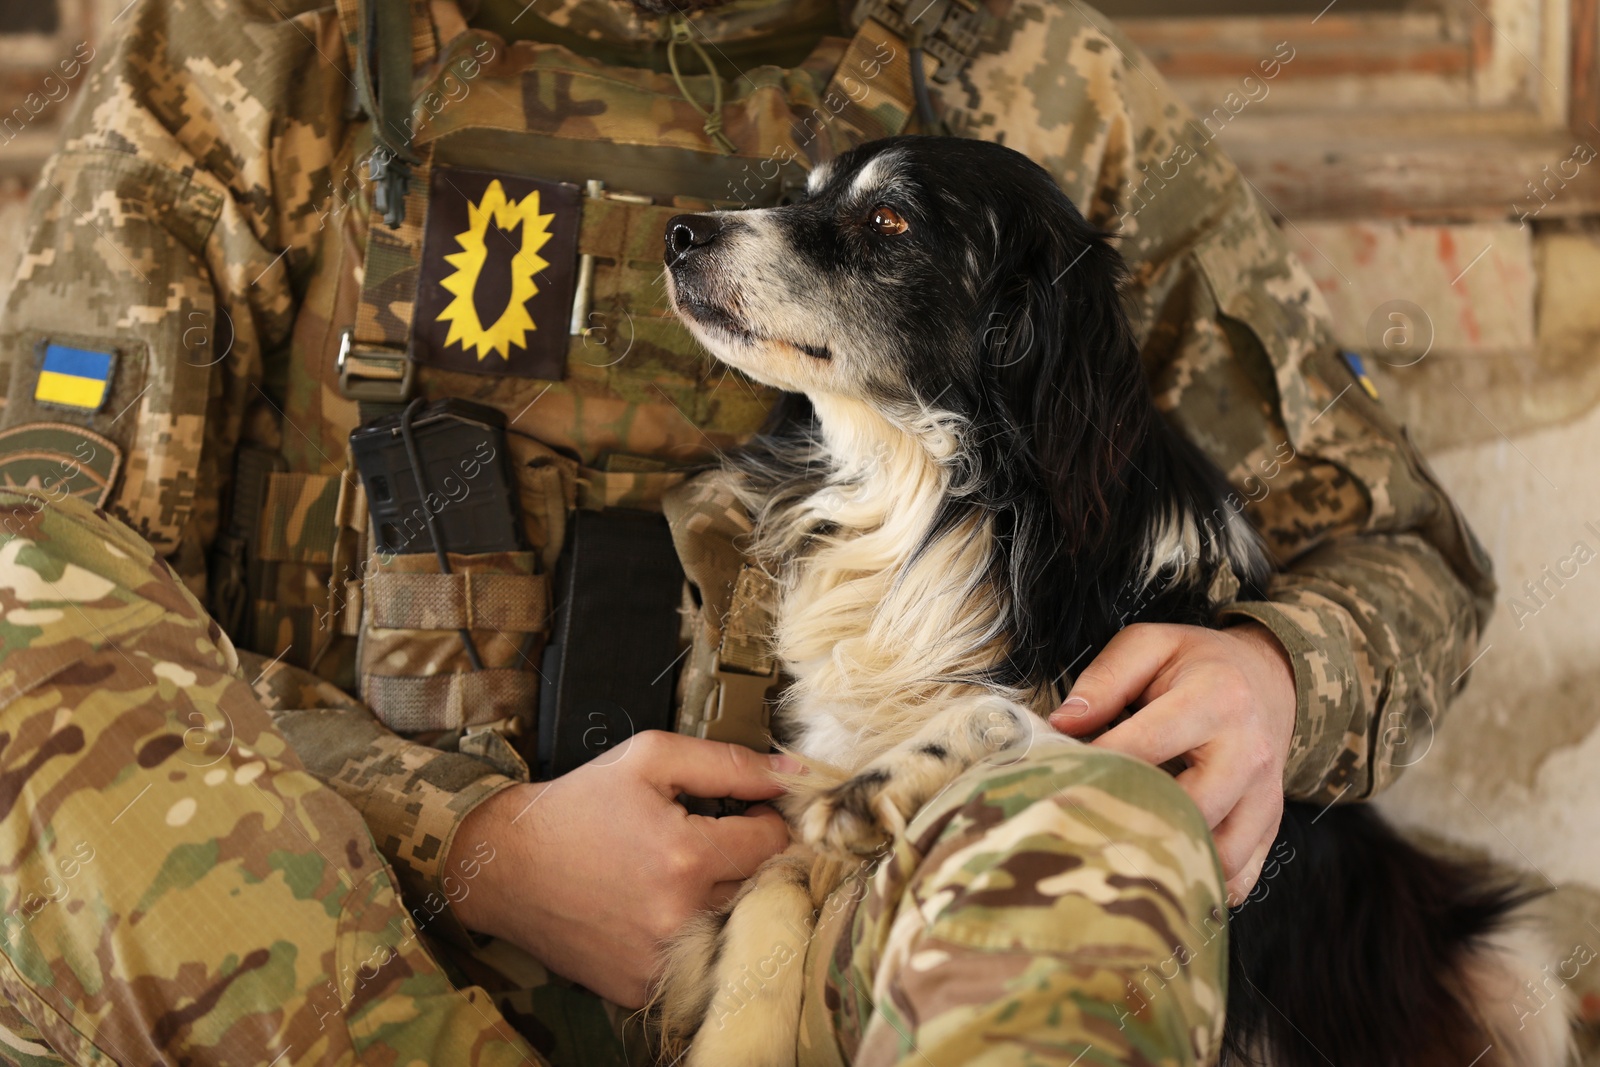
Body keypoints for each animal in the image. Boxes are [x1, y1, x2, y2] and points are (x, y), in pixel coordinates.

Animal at [652, 137, 1574, 1062]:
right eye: (801, 193)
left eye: (888, 220)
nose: (682, 231)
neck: (931, 500)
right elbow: (765, 896)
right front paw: (738, 1031)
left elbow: (1034, 722)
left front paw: (905, 769)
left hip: (1510, 968)